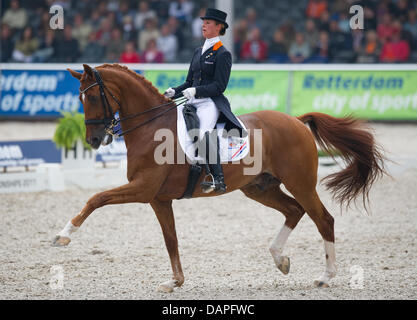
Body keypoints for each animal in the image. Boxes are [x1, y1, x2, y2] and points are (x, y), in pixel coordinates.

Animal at [53, 63, 386, 292]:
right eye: (81, 100)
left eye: (93, 97)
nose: (94, 140)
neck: (151, 128)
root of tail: (296, 121)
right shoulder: (159, 199)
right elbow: (171, 239)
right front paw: (175, 282)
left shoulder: (143, 189)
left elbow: (96, 198)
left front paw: (64, 235)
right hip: (259, 188)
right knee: (294, 210)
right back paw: (280, 259)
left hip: (300, 183)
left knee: (323, 219)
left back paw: (325, 277)